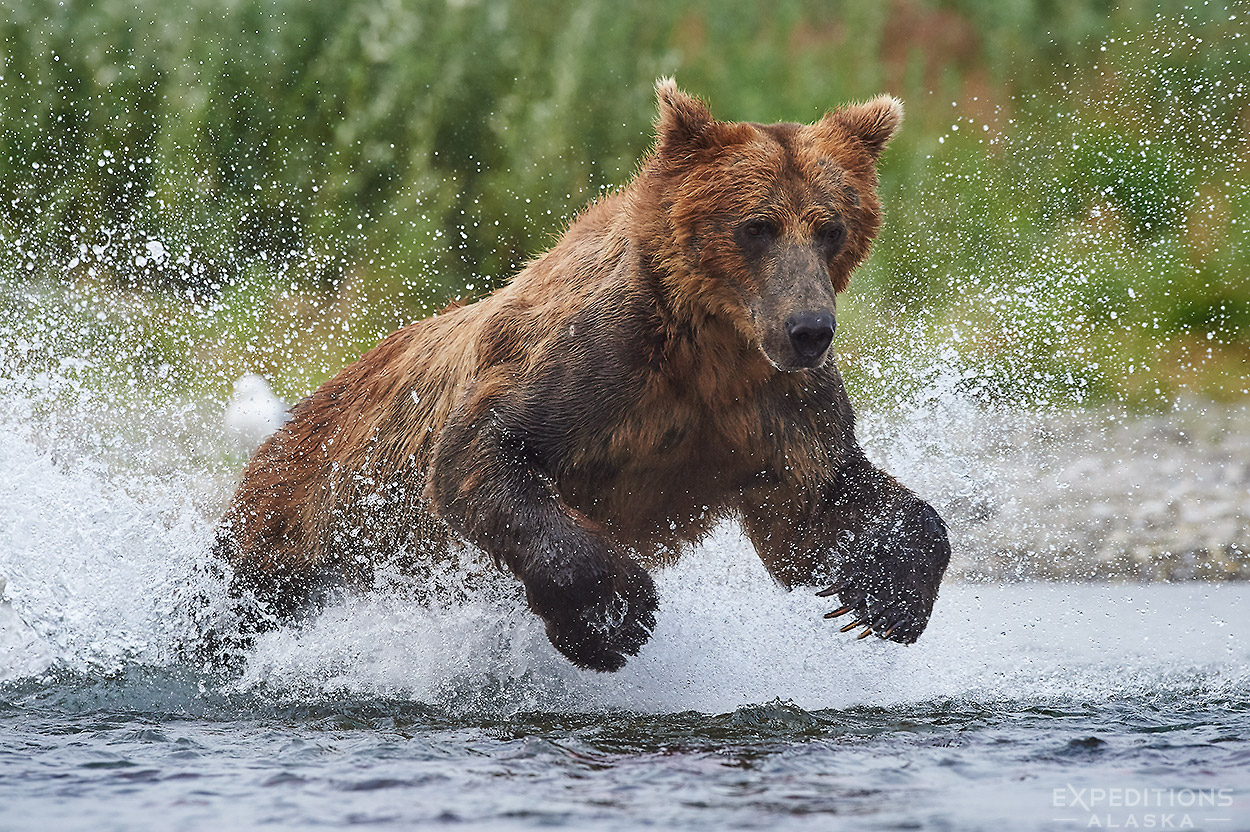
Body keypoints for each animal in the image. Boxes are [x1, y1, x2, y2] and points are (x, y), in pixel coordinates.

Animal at [215, 81, 950, 669]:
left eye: (831, 227)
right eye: (756, 226)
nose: (809, 329)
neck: (707, 347)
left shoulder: (767, 406)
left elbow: (816, 508)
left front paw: (885, 595)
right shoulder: (593, 366)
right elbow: (481, 454)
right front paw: (615, 617)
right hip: (309, 511)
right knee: (241, 596)